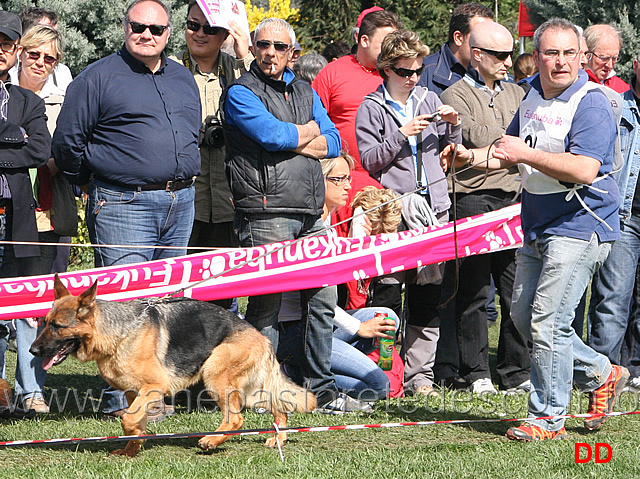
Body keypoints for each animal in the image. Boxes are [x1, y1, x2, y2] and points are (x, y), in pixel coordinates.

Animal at [30, 276, 316, 456]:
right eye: (44, 322)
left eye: (57, 326)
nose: (33, 351)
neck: (116, 333)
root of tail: (262, 337)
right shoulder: (134, 393)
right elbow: (135, 420)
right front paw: (132, 449)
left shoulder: (155, 386)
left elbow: (128, 419)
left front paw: (133, 435)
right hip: (250, 390)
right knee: (280, 407)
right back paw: (278, 438)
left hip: (215, 373)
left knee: (236, 418)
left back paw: (211, 440)